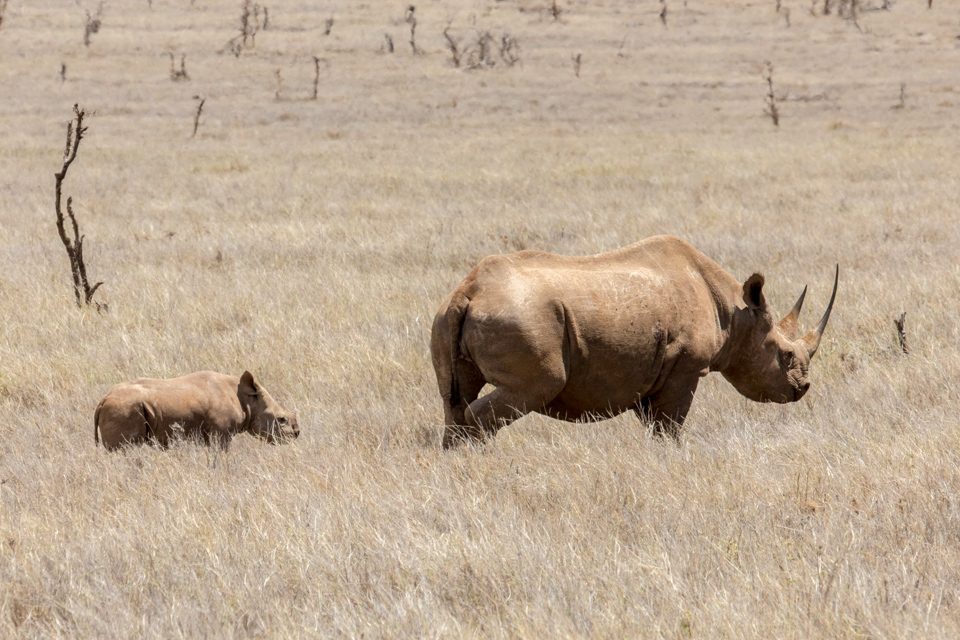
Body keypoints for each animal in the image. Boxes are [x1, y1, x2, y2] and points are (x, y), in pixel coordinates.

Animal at [94, 371, 299, 450]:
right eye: (281, 419)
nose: (297, 433)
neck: (247, 400)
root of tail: (104, 399)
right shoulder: (221, 433)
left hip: (121, 408)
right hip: (123, 409)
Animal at [431, 235, 837, 448]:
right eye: (785, 355)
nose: (803, 388)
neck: (736, 315)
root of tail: (469, 291)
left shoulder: (654, 371)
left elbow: (654, 425)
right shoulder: (686, 368)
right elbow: (669, 428)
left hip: (445, 317)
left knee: (454, 401)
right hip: (524, 319)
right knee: (537, 386)